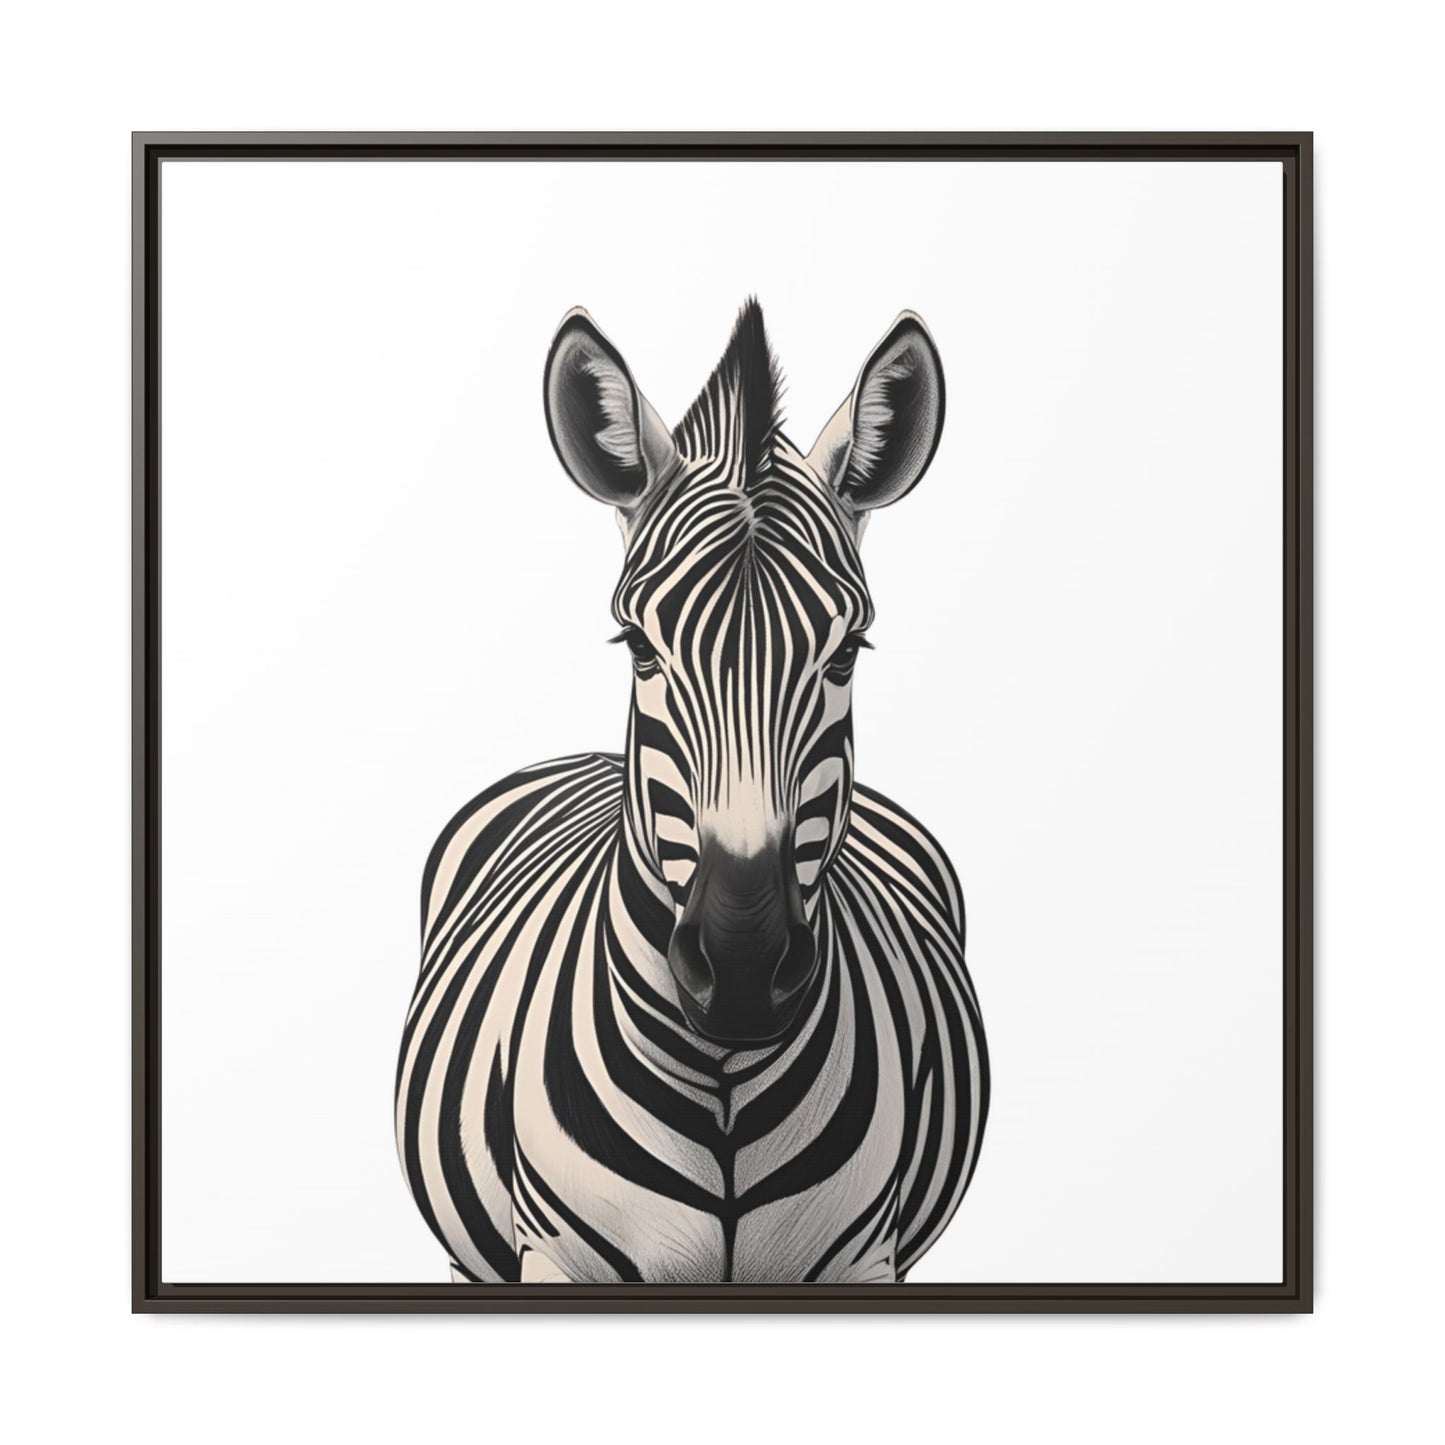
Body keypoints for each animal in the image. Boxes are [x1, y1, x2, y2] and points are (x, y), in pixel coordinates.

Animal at [395, 300, 988, 1284]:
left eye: (845, 654)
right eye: (638, 646)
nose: (743, 969)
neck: (723, 1086)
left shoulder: (867, 1256)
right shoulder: (551, 1256)